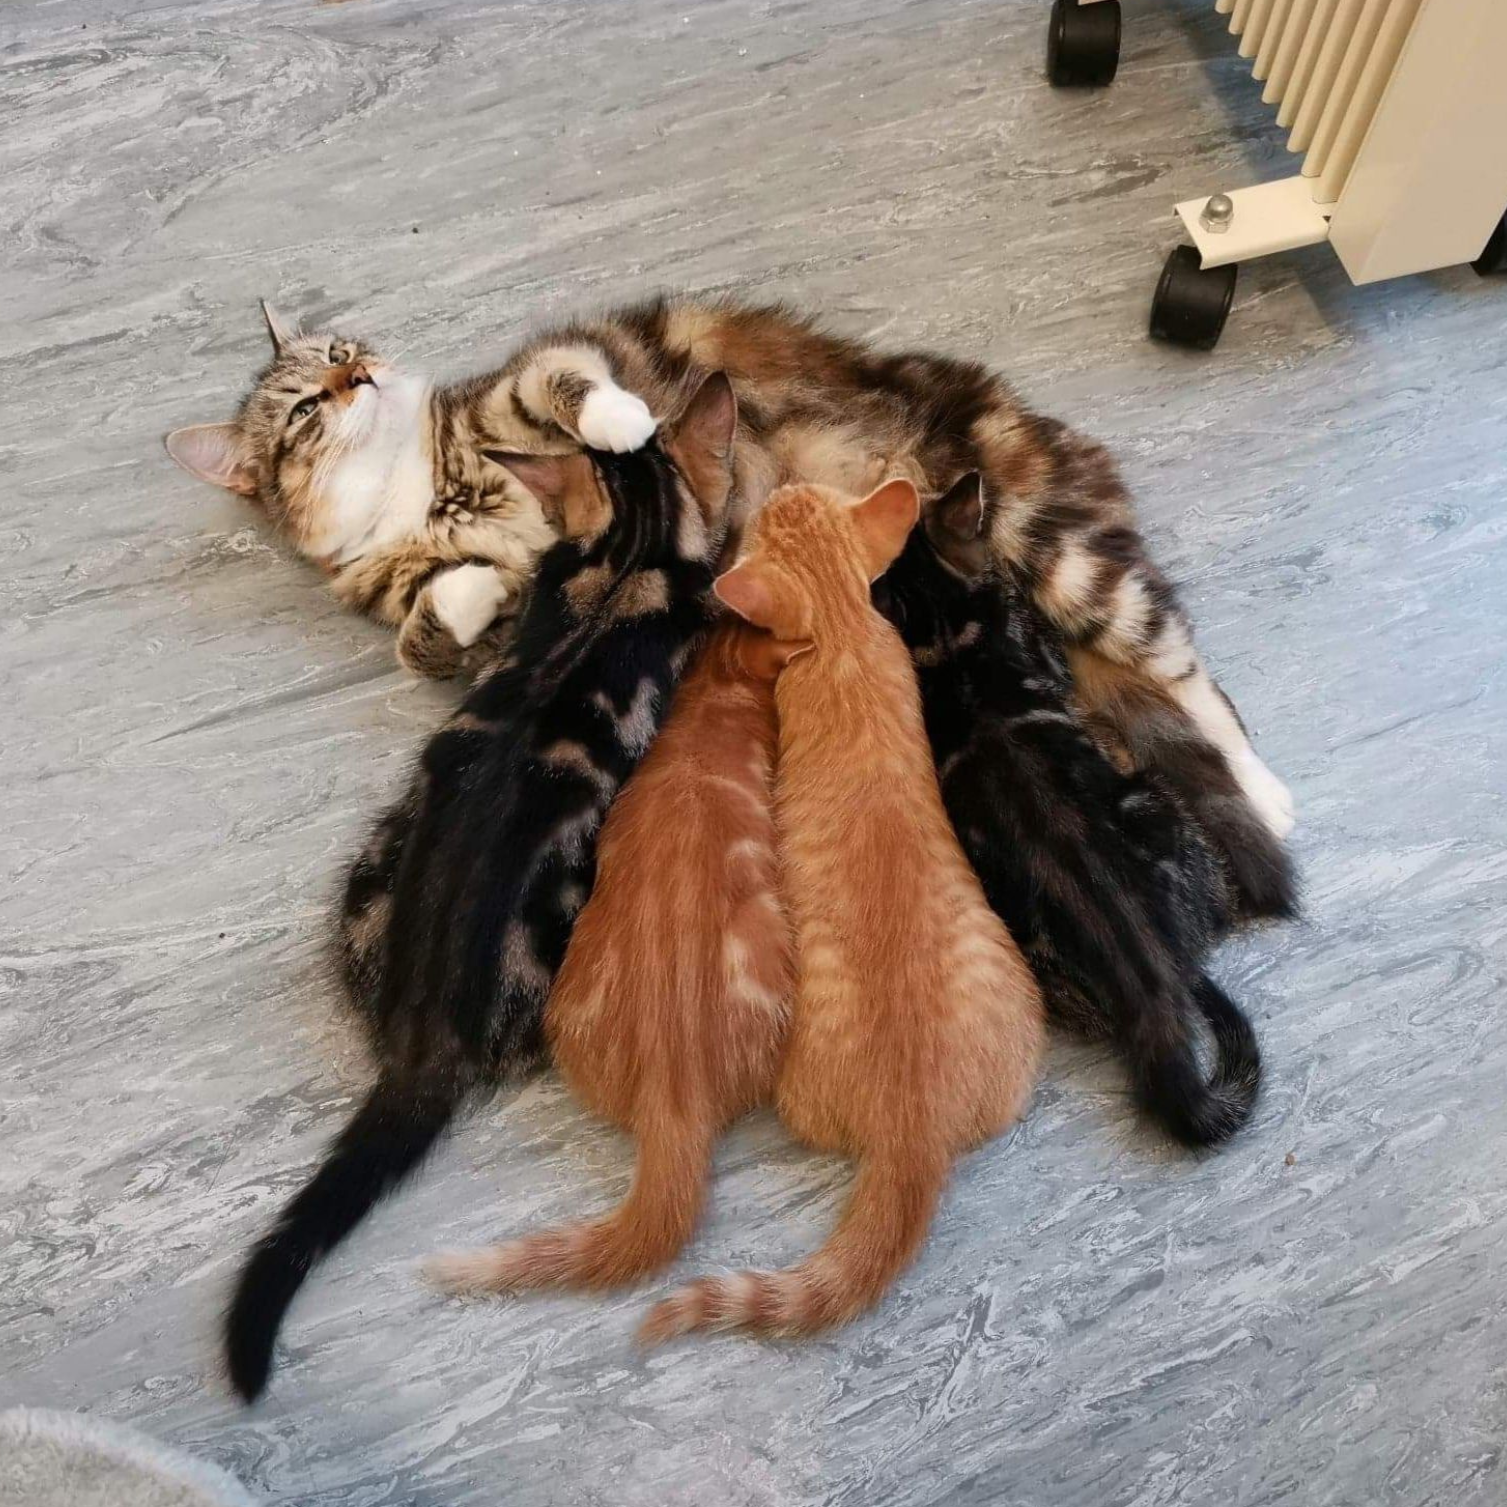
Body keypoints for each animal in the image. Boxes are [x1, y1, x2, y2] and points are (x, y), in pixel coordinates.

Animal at [167, 296, 1295, 916]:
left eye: (340, 350)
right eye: (306, 408)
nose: (362, 373)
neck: (415, 485)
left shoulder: (529, 379)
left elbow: (572, 385)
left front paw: (622, 423)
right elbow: (429, 633)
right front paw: (466, 589)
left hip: (1062, 552)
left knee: (1187, 672)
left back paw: (1267, 790)